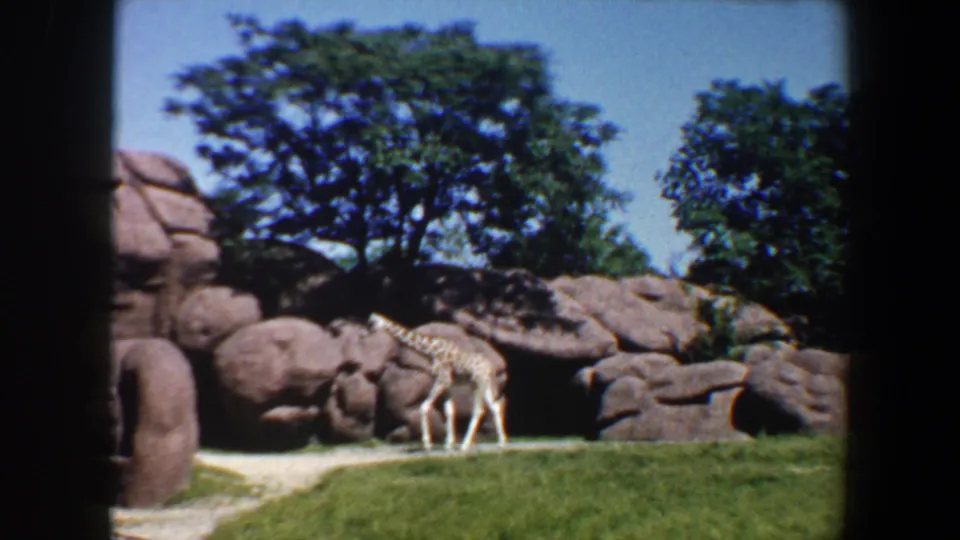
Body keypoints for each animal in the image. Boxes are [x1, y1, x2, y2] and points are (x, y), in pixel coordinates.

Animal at [368, 313, 508, 452]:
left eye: (372, 322)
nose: (369, 332)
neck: (431, 351)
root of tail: (490, 368)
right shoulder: (448, 383)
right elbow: (449, 410)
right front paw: (448, 444)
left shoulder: (442, 379)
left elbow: (424, 406)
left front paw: (427, 444)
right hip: (483, 384)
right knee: (495, 406)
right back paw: (501, 442)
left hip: (478, 383)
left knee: (479, 410)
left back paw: (465, 445)